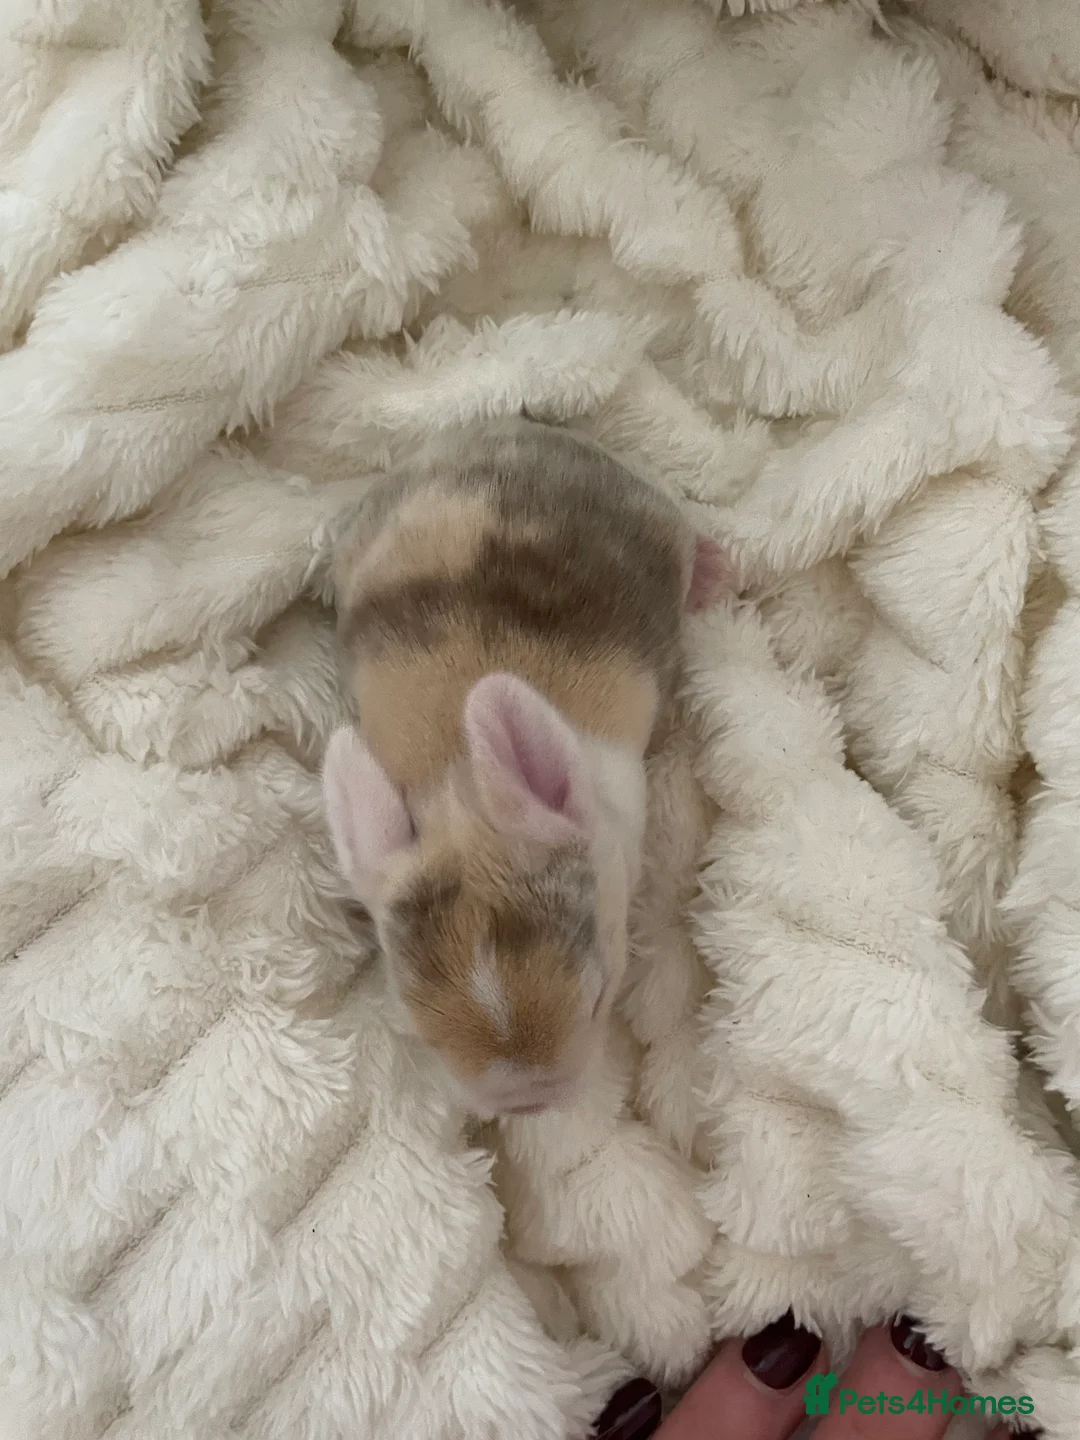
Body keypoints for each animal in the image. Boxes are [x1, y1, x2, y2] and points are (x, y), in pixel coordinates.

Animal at [321, 417, 728, 1118]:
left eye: (601, 997)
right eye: (427, 1038)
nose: (531, 1103)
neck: (455, 777)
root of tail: (507, 432)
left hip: (652, 511)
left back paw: (710, 569)